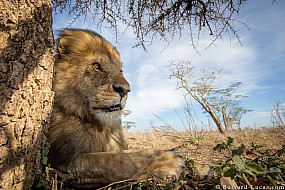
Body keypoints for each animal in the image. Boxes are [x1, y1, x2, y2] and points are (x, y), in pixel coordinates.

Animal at [46, 29, 184, 188]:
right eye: (96, 66)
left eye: (120, 70)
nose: (125, 90)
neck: (97, 125)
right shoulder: (61, 162)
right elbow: (115, 161)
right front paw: (167, 161)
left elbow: (125, 153)